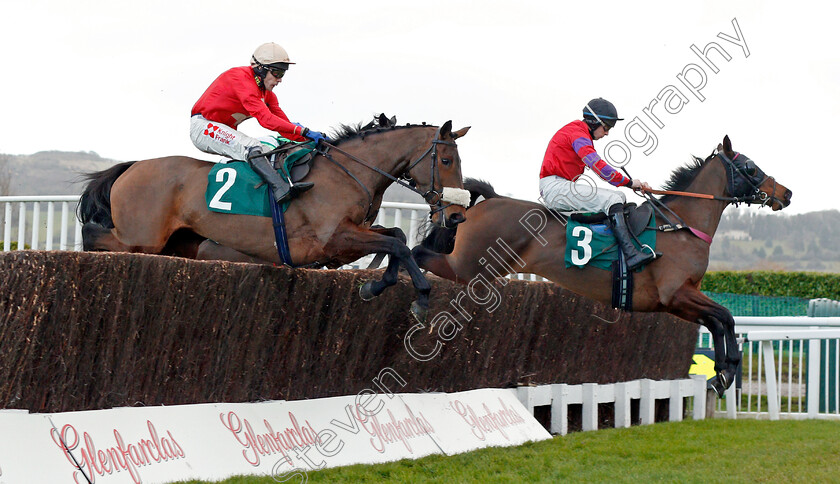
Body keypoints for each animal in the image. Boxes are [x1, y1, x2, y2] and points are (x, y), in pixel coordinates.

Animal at [79, 113, 470, 322]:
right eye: (446, 160)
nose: (456, 216)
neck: (346, 174)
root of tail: (132, 166)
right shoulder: (329, 241)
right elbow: (396, 244)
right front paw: (421, 298)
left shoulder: (346, 241)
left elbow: (396, 238)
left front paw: (375, 285)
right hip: (141, 238)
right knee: (92, 235)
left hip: (178, 243)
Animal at [414, 135, 796, 394]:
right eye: (751, 167)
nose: (787, 193)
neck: (681, 225)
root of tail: (489, 199)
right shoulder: (675, 294)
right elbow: (726, 317)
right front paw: (727, 370)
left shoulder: (676, 301)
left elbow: (718, 321)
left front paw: (722, 373)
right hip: (469, 268)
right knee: (419, 253)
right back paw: (412, 291)